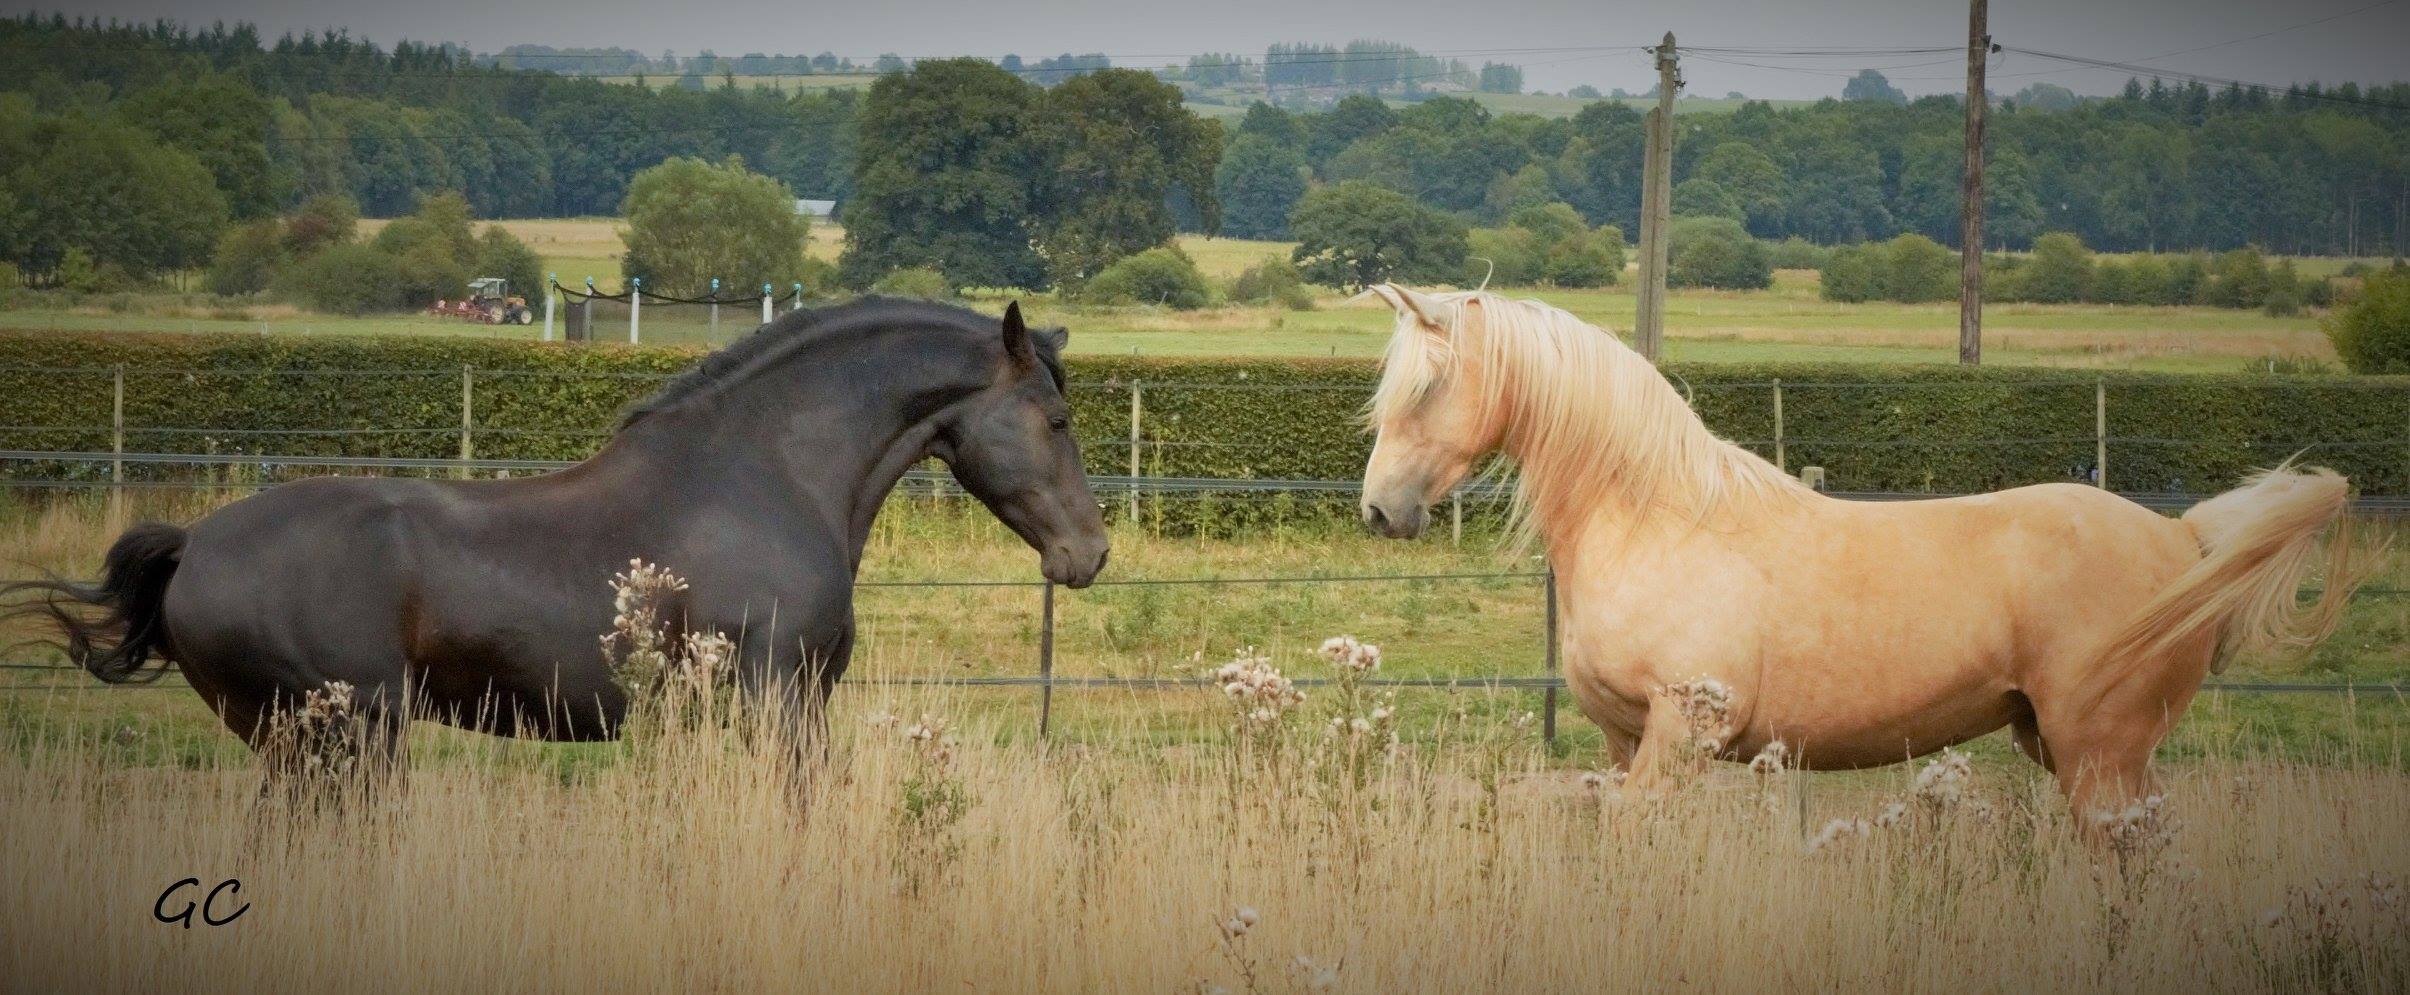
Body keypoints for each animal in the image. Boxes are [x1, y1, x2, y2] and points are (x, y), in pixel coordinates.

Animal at [4, 295, 1103, 761]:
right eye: (1055, 419)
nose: (1089, 553)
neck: (771, 473)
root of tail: (195, 545)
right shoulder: (778, 700)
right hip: (350, 737)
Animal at [1368, 283, 2361, 809]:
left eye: (1428, 387)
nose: (1381, 510)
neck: (1657, 518)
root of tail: (2182, 537)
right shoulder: (1627, 743)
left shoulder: (1679, 740)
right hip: (2070, 750)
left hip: (2099, 759)